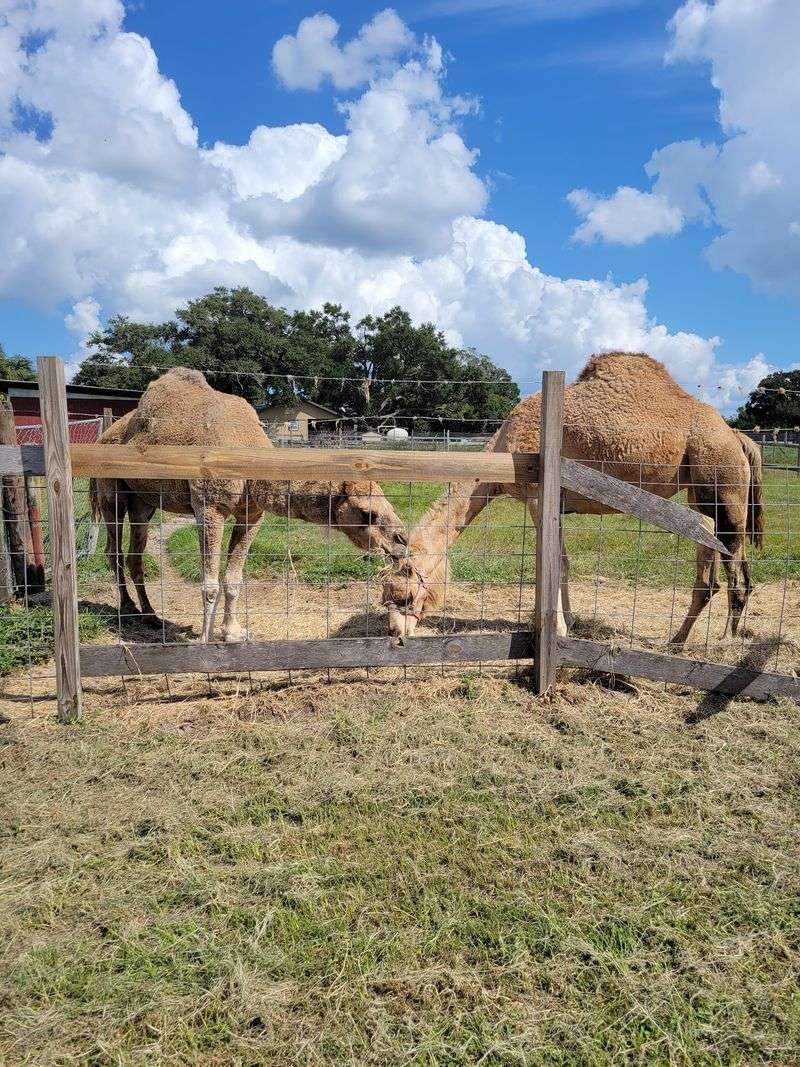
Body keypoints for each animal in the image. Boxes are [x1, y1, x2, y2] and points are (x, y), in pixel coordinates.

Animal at [90, 368, 407, 642]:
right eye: (368, 513)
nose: (401, 541)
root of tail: (102, 437)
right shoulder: (209, 508)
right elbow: (209, 584)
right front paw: (203, 640)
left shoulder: (252, 515)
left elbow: (233, 581)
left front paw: (232, 633)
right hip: (111, 494)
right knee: (113, 549)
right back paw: (128, 608)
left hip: (143, 501)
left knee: (135, 554)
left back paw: (151, 615)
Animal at [381, 352, 764, 646]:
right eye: (385, 597)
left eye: (403, 595)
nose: (395, 635)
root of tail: (737, 436)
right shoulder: (559, 504)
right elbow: (563, 562)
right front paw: (572, 622)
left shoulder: (538, 497)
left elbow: (552, 562)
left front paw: (557, 630)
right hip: (702, 492)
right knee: (723, 563)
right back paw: (690, 638)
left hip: (721, 481)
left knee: (730, 567)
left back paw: (716, 642)